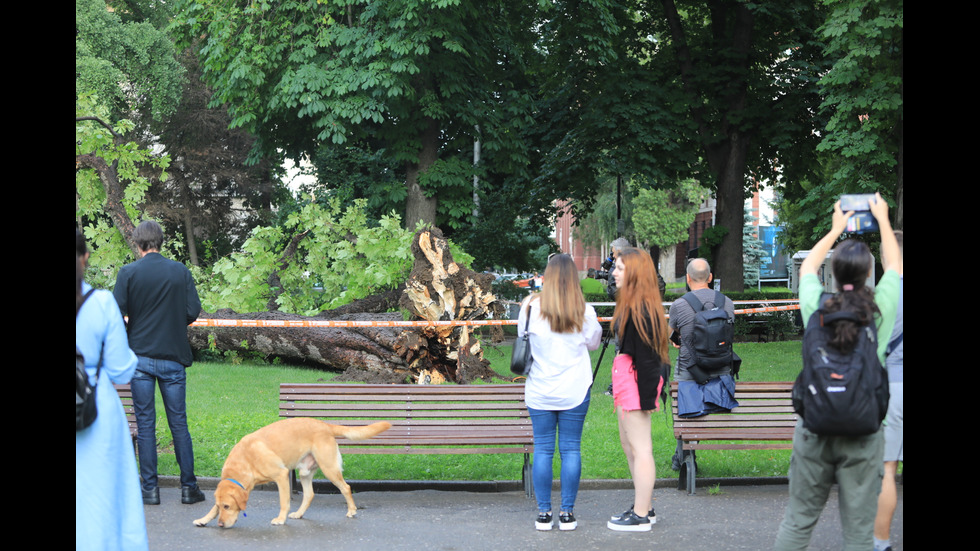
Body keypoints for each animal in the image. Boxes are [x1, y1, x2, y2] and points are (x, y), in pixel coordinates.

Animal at [191, 418, 390, 532]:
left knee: (346, 488)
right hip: (305, 472)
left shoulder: (281, 475)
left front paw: (280, 519)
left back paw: (351, 510)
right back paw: (300, 514)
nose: (220, 525)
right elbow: (210, 510)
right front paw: (203, 519)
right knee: (310, 494)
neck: (246, 460)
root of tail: (324, 424)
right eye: (220, 506)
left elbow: (283, 501)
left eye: (227, 506)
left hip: (329, 468)